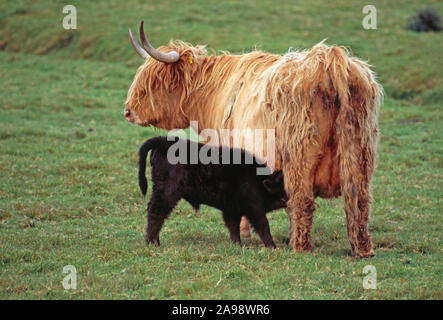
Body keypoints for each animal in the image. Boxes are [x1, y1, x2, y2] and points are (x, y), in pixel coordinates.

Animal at [139, 136, 288, 248]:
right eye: (280, 192)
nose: (288, 199)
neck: (257, 179)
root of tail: (163, 141)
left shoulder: (231, 209)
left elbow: (233, 227)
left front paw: (237, 244)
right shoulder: (254, 208)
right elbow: (263, 225)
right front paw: (273, 246)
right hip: (167, 193)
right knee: (156, 212)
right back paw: (153, 243)